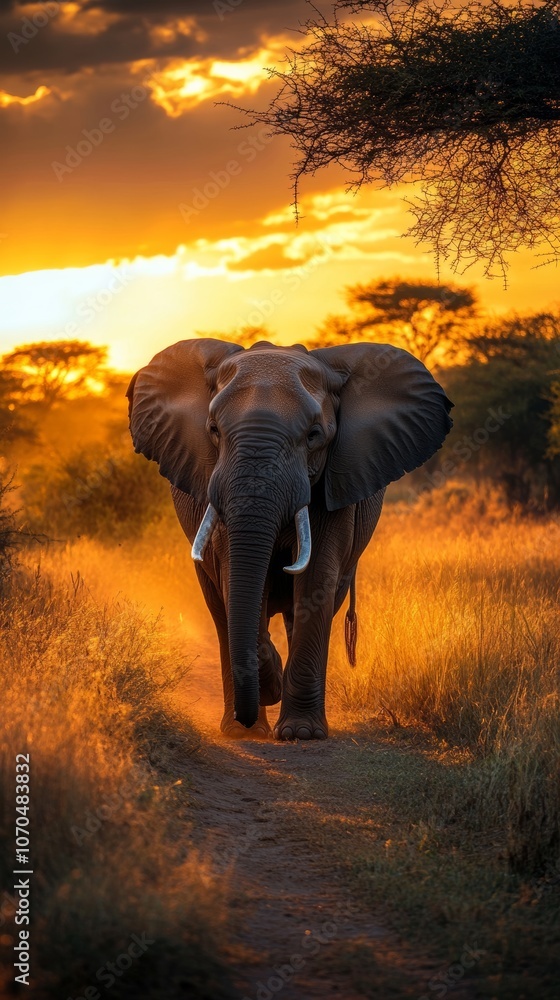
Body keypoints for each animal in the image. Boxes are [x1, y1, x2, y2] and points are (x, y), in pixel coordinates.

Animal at [127, 338, 452, 741]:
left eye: (314, 435)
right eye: (214, 430)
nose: (264, 695)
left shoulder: (334, 482)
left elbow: (315, 579)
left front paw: (301, 732)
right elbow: (235, 577)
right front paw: (268, 689)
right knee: (220, 609)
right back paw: (241, 731)